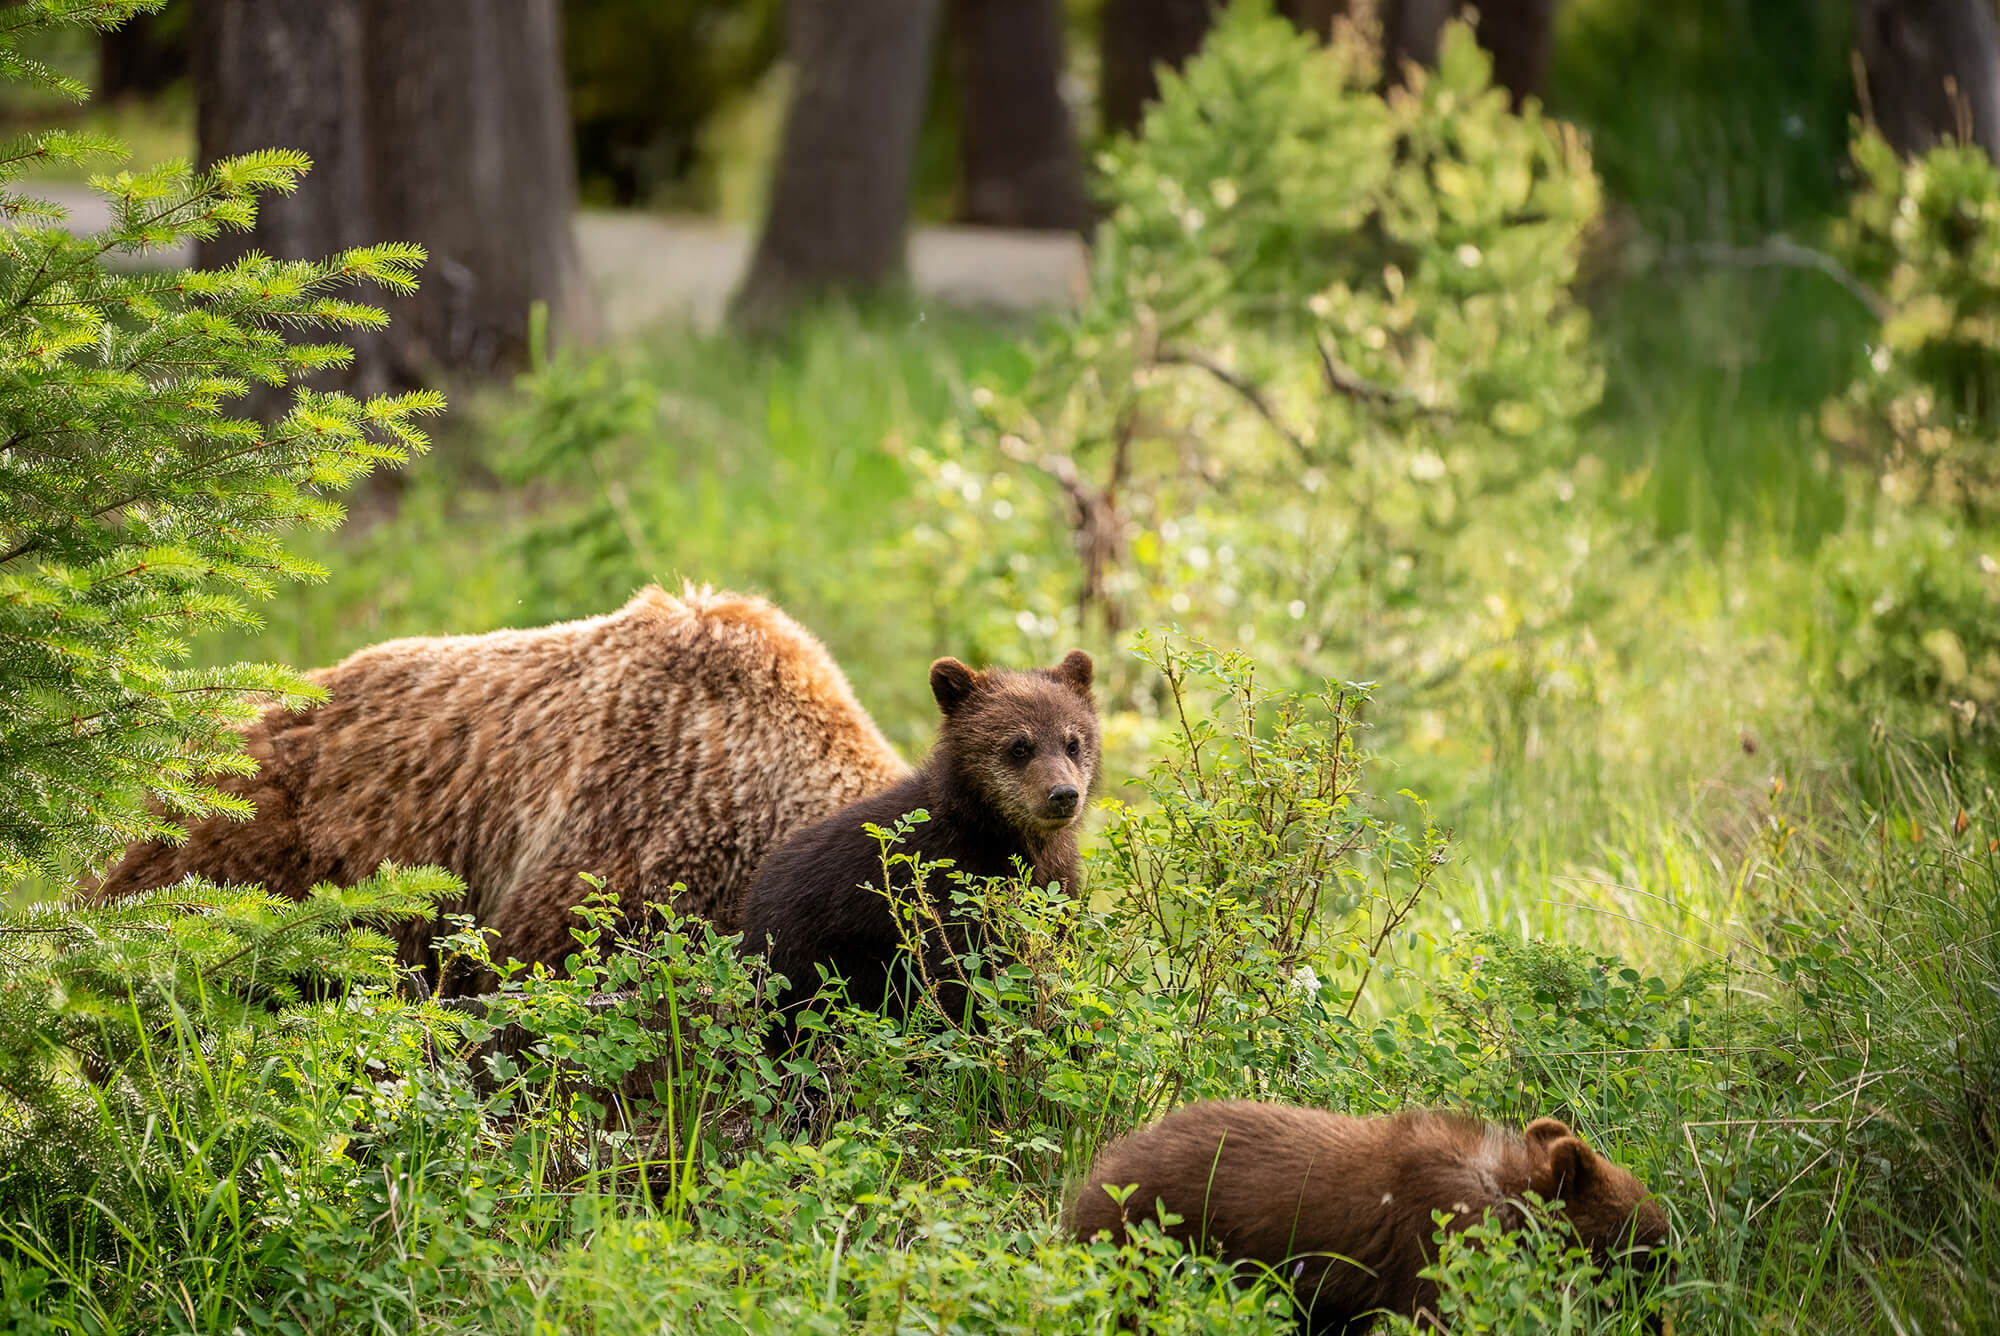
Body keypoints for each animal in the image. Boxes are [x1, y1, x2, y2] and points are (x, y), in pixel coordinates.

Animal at [736, 648, 1100, 1029]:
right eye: (1019, 746)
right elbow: (961, 976)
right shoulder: (946, 887)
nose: (1063, 794)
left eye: (1073, 743)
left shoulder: (1055, 881)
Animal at [1070, 1100, 1670, 1334]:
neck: (1503, 1192)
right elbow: (1445, 1312)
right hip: (1143, 1244)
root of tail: (1095, 1175)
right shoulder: (1437, 1242)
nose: (1661, 1319)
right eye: (1652, 1250)